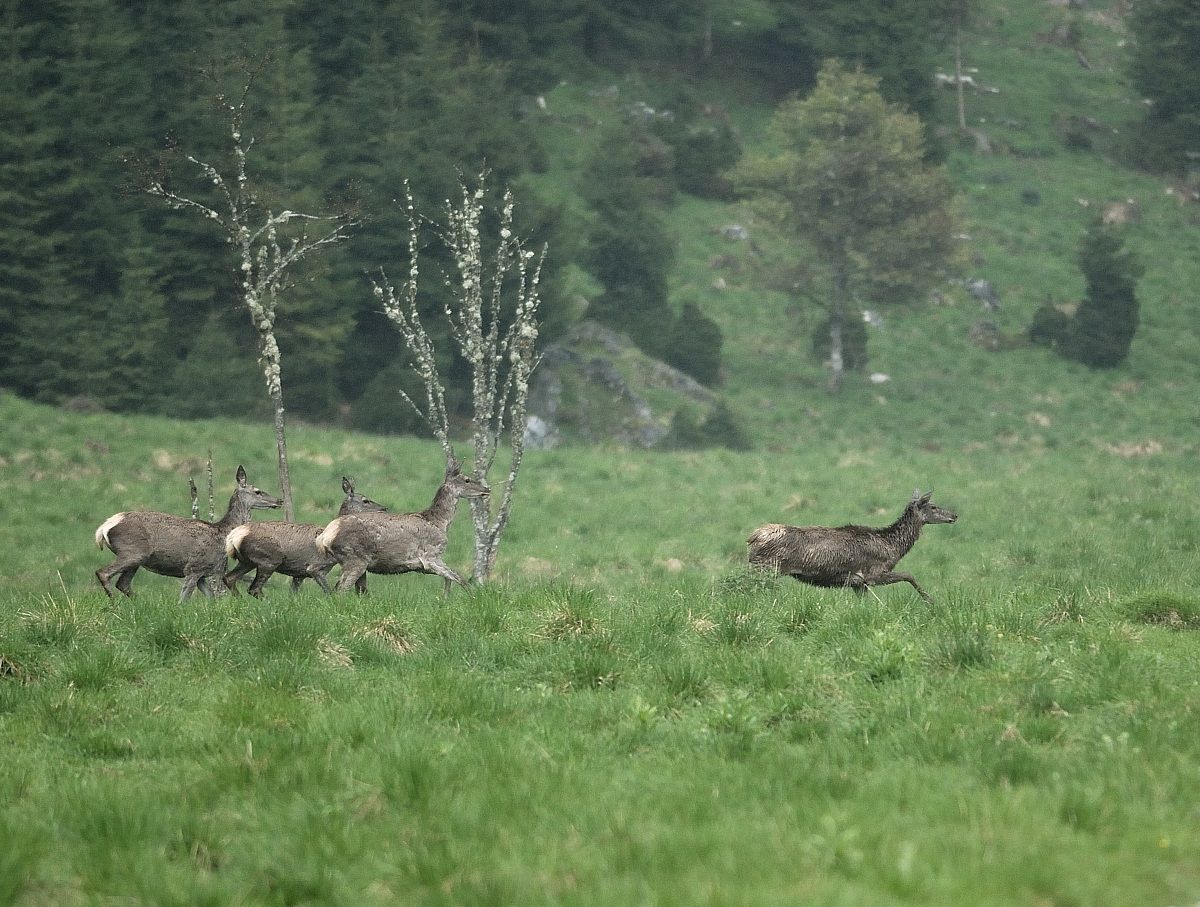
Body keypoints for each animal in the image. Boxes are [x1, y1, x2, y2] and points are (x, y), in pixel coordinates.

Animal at [95, 465, 282, 600]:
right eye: (258, 491)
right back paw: (113, 601)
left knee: (123, 584)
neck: (222, 534)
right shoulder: (194, 568)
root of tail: (103, 528)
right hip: (132, 551)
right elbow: (183, 600)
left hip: (136, 558)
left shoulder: (203, 575)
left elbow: (213, 600)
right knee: (103, 573)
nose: (279, 500)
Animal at [223, 477, 388, 597]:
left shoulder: (298, 574)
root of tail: (233, 536)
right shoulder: (315, 567)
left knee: (229, 578)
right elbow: (329, 592)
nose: (384, 508)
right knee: (253, 588)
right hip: (268, 559)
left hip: (247, 561)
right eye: (365, 500)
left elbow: (293, 596)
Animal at [315, 458, 489, 594]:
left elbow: (450, 579)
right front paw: (473, 599)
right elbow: (459, 578)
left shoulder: (425, 565)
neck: (438, 522)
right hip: (355, 559)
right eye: (467, 479)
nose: (486, 489)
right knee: (340, 590)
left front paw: (444, 600)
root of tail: (325, 536)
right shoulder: (431, 555)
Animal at [747, 490, 957, 602]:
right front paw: (930, 600)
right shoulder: (873, 574)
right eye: (933, 506)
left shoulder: (858, 583)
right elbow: (909, 575)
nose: (954, 515)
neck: (894, 547)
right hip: (766, 568)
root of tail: (752, 537)